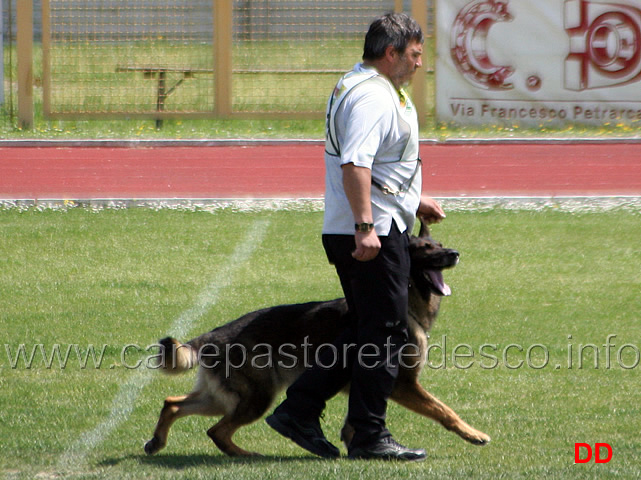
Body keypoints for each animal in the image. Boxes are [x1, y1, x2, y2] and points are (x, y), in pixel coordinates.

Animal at [144, 221, 490, 458]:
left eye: (439, 243)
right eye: (426, 249)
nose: (455, 254)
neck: (409, 304)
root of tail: (212, 334)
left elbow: (354, 420)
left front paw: (357, 447)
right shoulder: (402, 385)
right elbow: (444, 410)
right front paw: (472, 434)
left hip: (222, 398)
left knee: (174, 404)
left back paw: (157, 442)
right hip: (257, 398)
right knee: (216, 429)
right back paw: (243, 454)